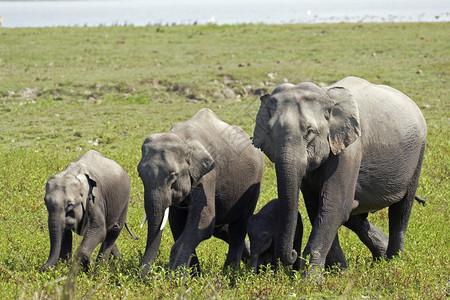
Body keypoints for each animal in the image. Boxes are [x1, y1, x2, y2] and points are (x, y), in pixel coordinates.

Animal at [137, 108, 264, 278]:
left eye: (172, 176)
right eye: (140, 175)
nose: (142, 278)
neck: (182, 138)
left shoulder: (207, 176)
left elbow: (201, 222)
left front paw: (177, 278)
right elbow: (177, 224)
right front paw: (193, 276)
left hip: (254, 183)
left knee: (239, 225)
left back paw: (231, 273)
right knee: (222, 229)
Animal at [253, 76, 426, 270]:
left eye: (310, 131)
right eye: (270, 133)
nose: (293, 253)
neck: (326, 94)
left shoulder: (349, 149)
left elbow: (334, 206)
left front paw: (312, 276)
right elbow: (316, 206)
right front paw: (340, 271)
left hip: (418, 153)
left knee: (401, 210)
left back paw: (392, 262)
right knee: (355, 214)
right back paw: (381, 255)